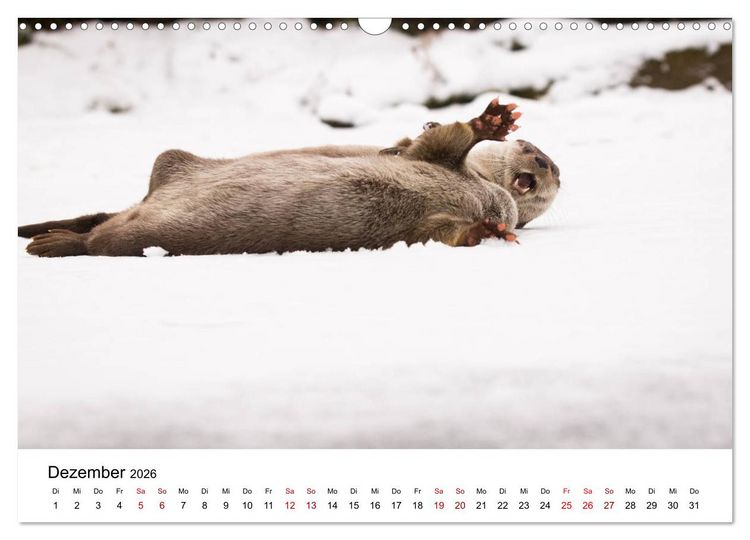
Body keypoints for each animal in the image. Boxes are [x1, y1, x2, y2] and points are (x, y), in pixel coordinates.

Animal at [18, 99, 560, 257]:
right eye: (538, 154)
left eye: (552, 169)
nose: (541, 159)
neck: (489, 191)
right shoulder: (435, 159)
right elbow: (444, 139)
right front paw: (491, 121)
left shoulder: (437, 218)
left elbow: (440, 233)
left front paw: (489, 230)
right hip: (173, 163)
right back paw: (45, 238)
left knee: (100, 238)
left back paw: (49, 242)